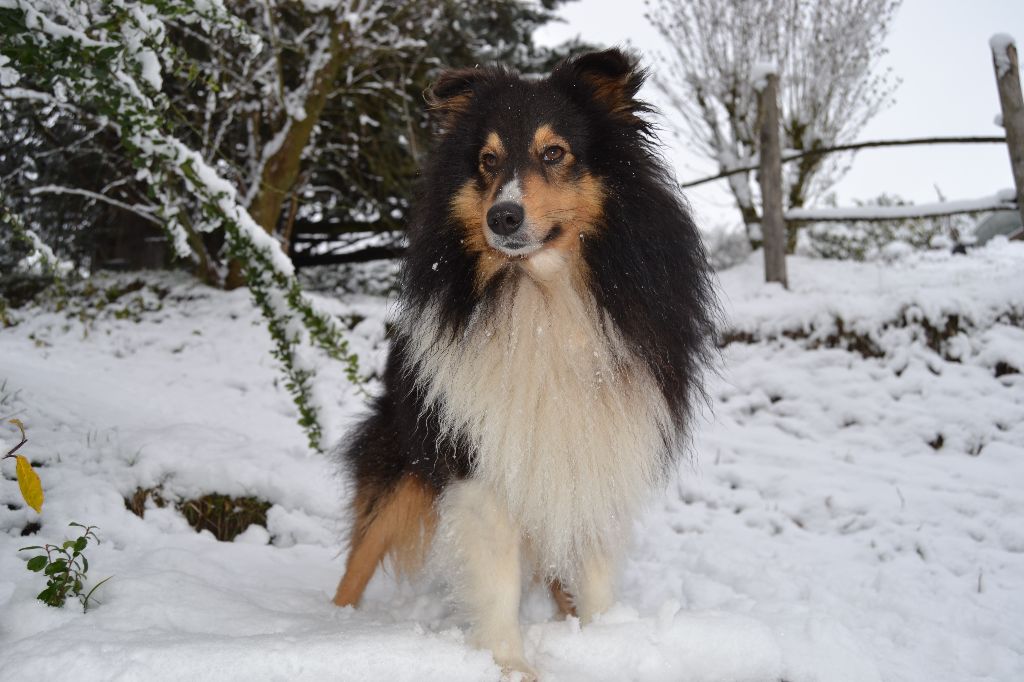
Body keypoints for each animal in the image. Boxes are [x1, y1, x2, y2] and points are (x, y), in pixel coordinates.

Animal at [331, 47, 716, 675]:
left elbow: (593, 570)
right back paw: (331, 626)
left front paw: (604, 642)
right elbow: (496, 582)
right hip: (401, 453)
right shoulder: (480, 458)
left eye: (554, 152)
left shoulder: (600, 449)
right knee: (359, 555)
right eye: (487, 161)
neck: (541, 297)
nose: (502, 218)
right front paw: (511, 665)